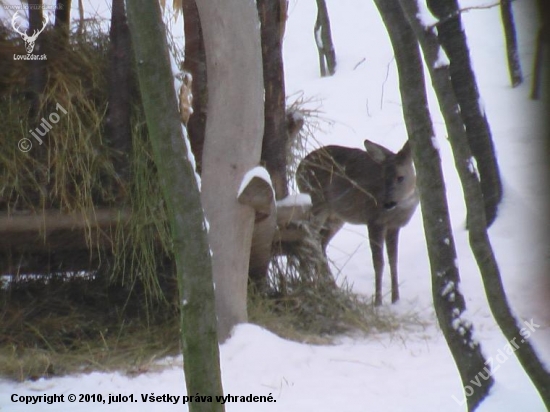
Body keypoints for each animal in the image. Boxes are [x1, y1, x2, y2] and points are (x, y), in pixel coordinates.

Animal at [300, 140, 420, 304]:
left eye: (400, 177)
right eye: (383, 177)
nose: (387, 203)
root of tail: (299, 168)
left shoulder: (395, 226)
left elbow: (393, 261)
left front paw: (396, 300)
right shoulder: (374, 220)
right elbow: (378, 262)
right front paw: (378, 302)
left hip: (336, 216)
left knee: (320, 241)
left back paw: (329, 285)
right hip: (317, 202)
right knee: (308, 238)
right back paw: (311, 283)